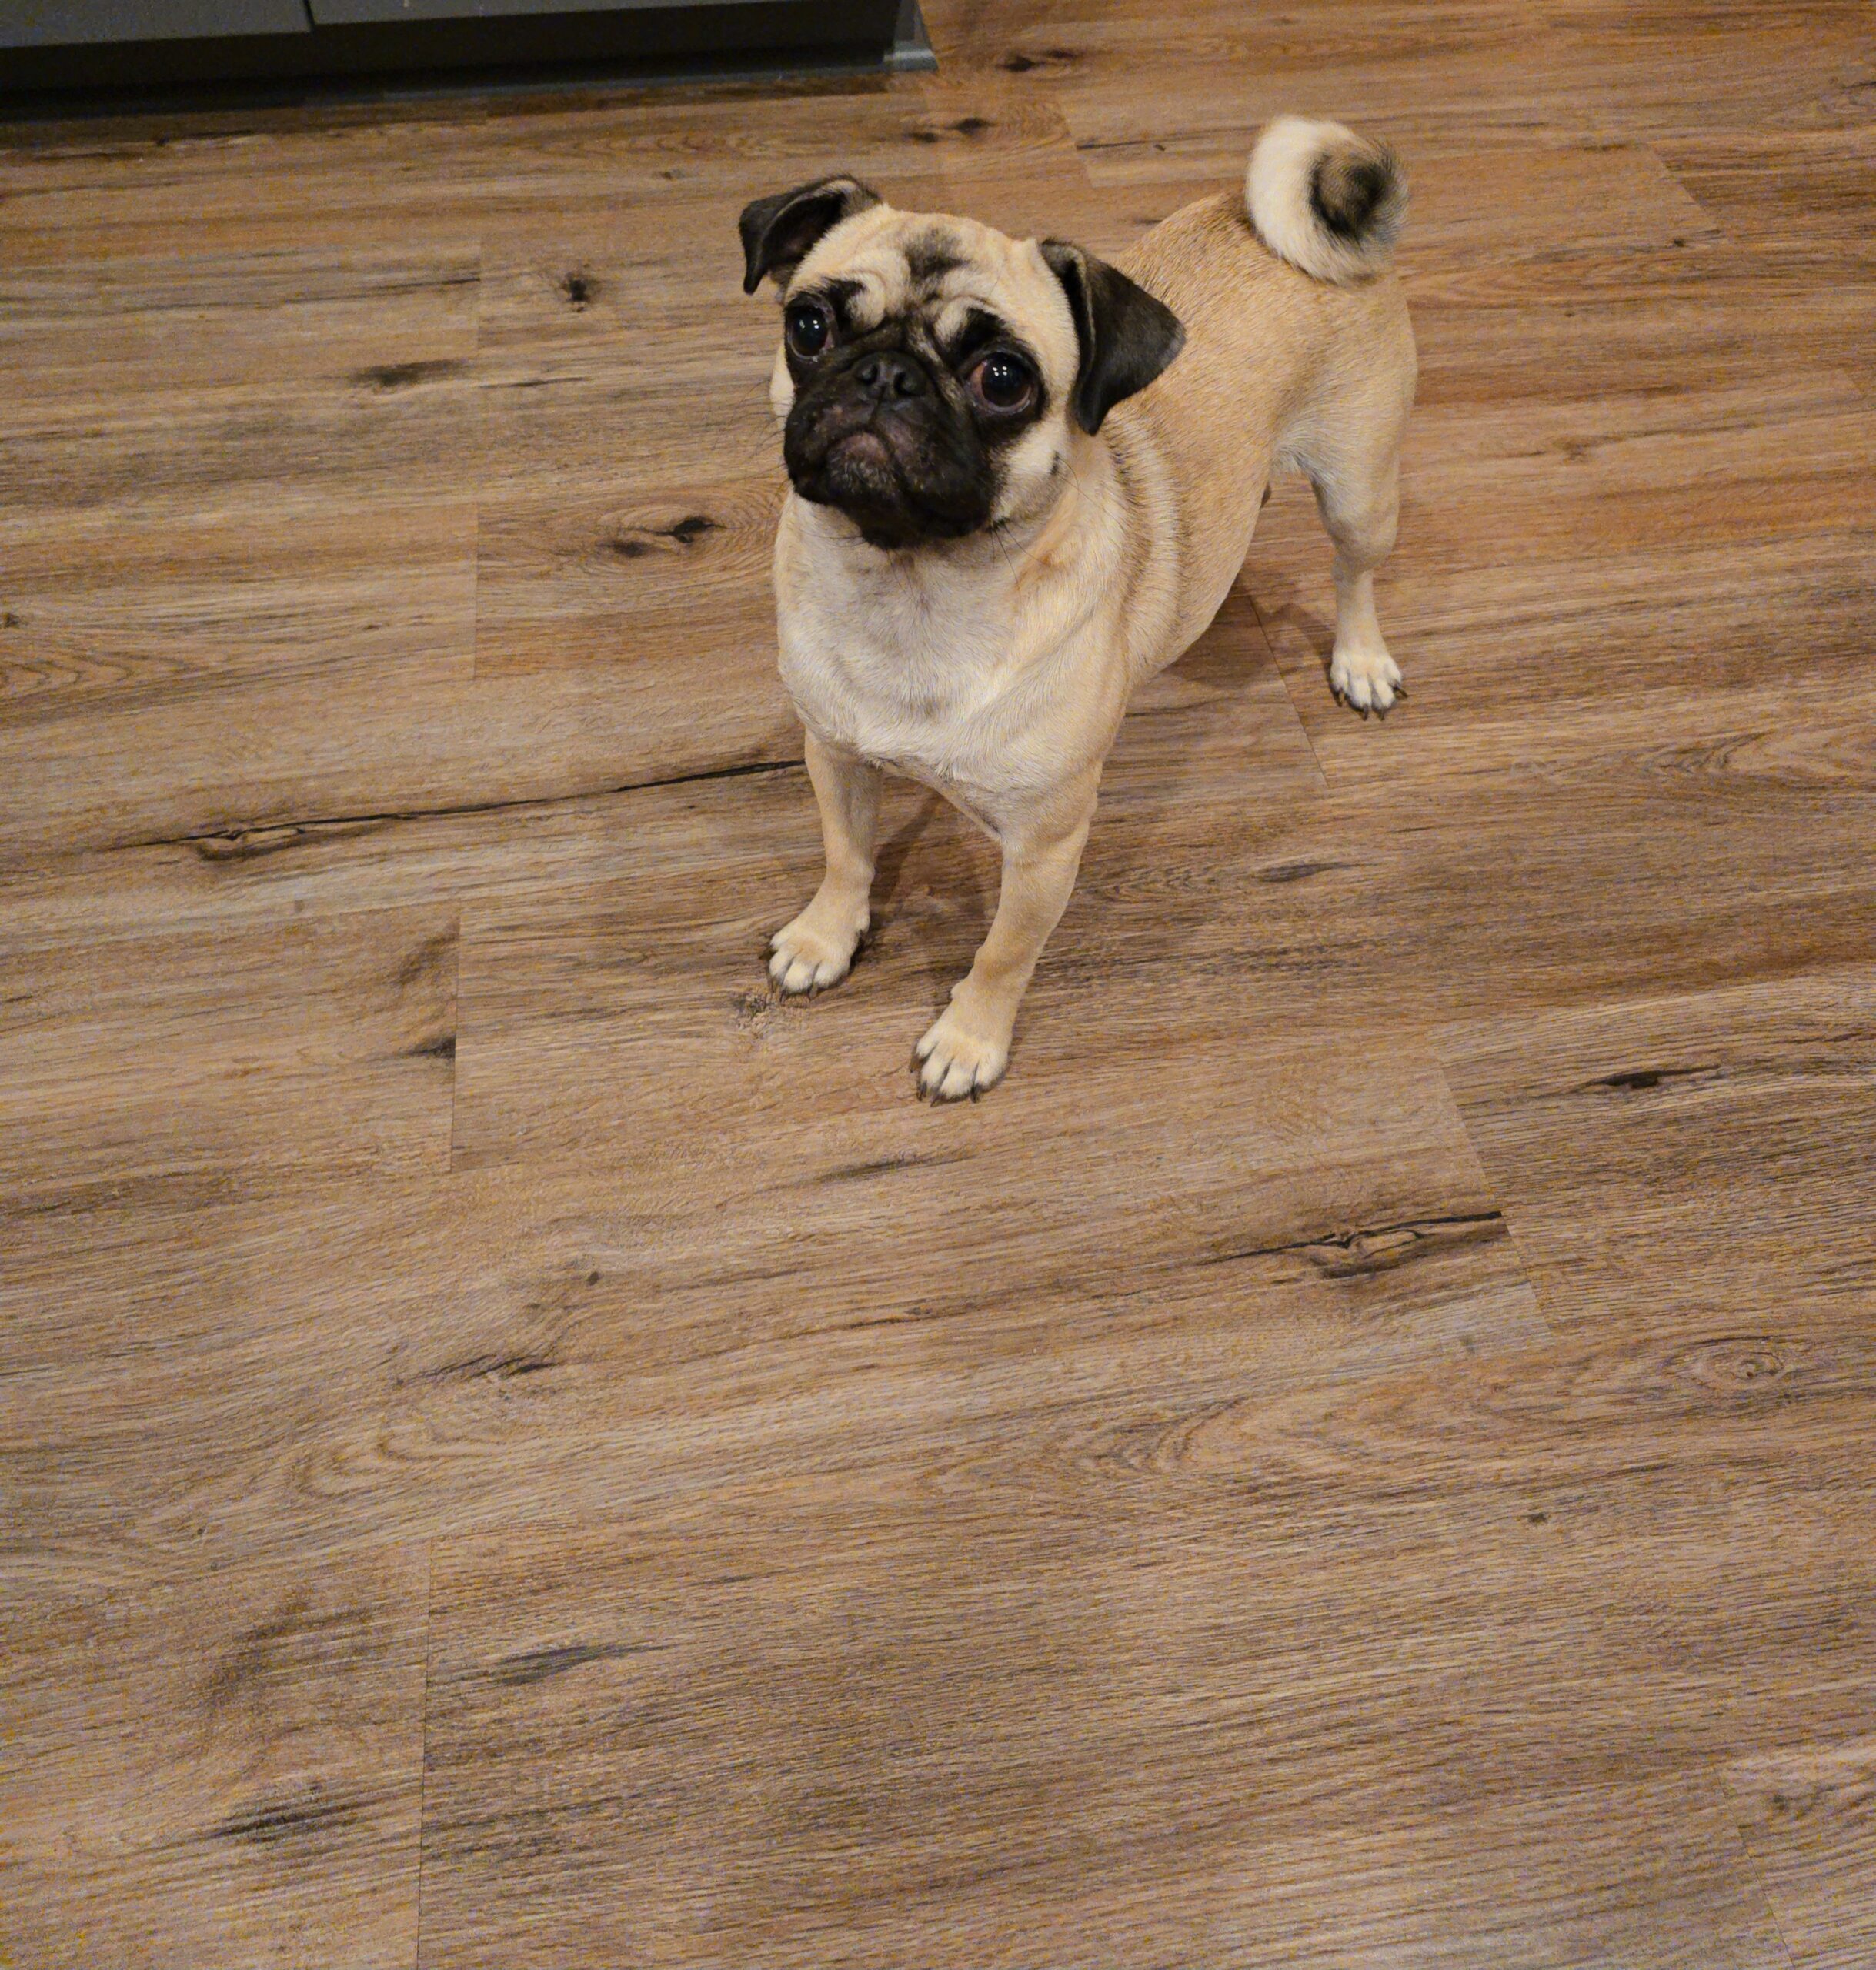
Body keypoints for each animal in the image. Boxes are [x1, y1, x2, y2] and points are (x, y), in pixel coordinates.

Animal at [739, 116, 1415, 1099]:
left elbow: (1001, 955)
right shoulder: (833, 754)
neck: (913, 591)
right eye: (810, 324)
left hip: (1358, 492)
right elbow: (846, 857)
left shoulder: (1045, 848)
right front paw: (826, 937)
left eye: (1002, 378)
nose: (885, 377)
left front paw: (969, 1040)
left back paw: (1359, 661)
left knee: (1352, 576)